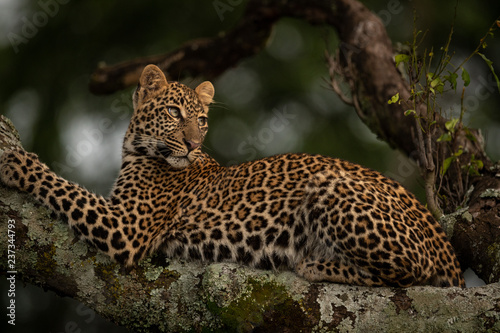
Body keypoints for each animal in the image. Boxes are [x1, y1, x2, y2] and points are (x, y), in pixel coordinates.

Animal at [0, 64, 464, 286]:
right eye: (174, 112)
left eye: (202, 120)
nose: (191, 144)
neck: (137, 151)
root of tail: (447, 249)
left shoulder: (126, 228)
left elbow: (62, 186)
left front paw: (13, 160)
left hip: (329, 186)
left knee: (413, 270)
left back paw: (314, 264)